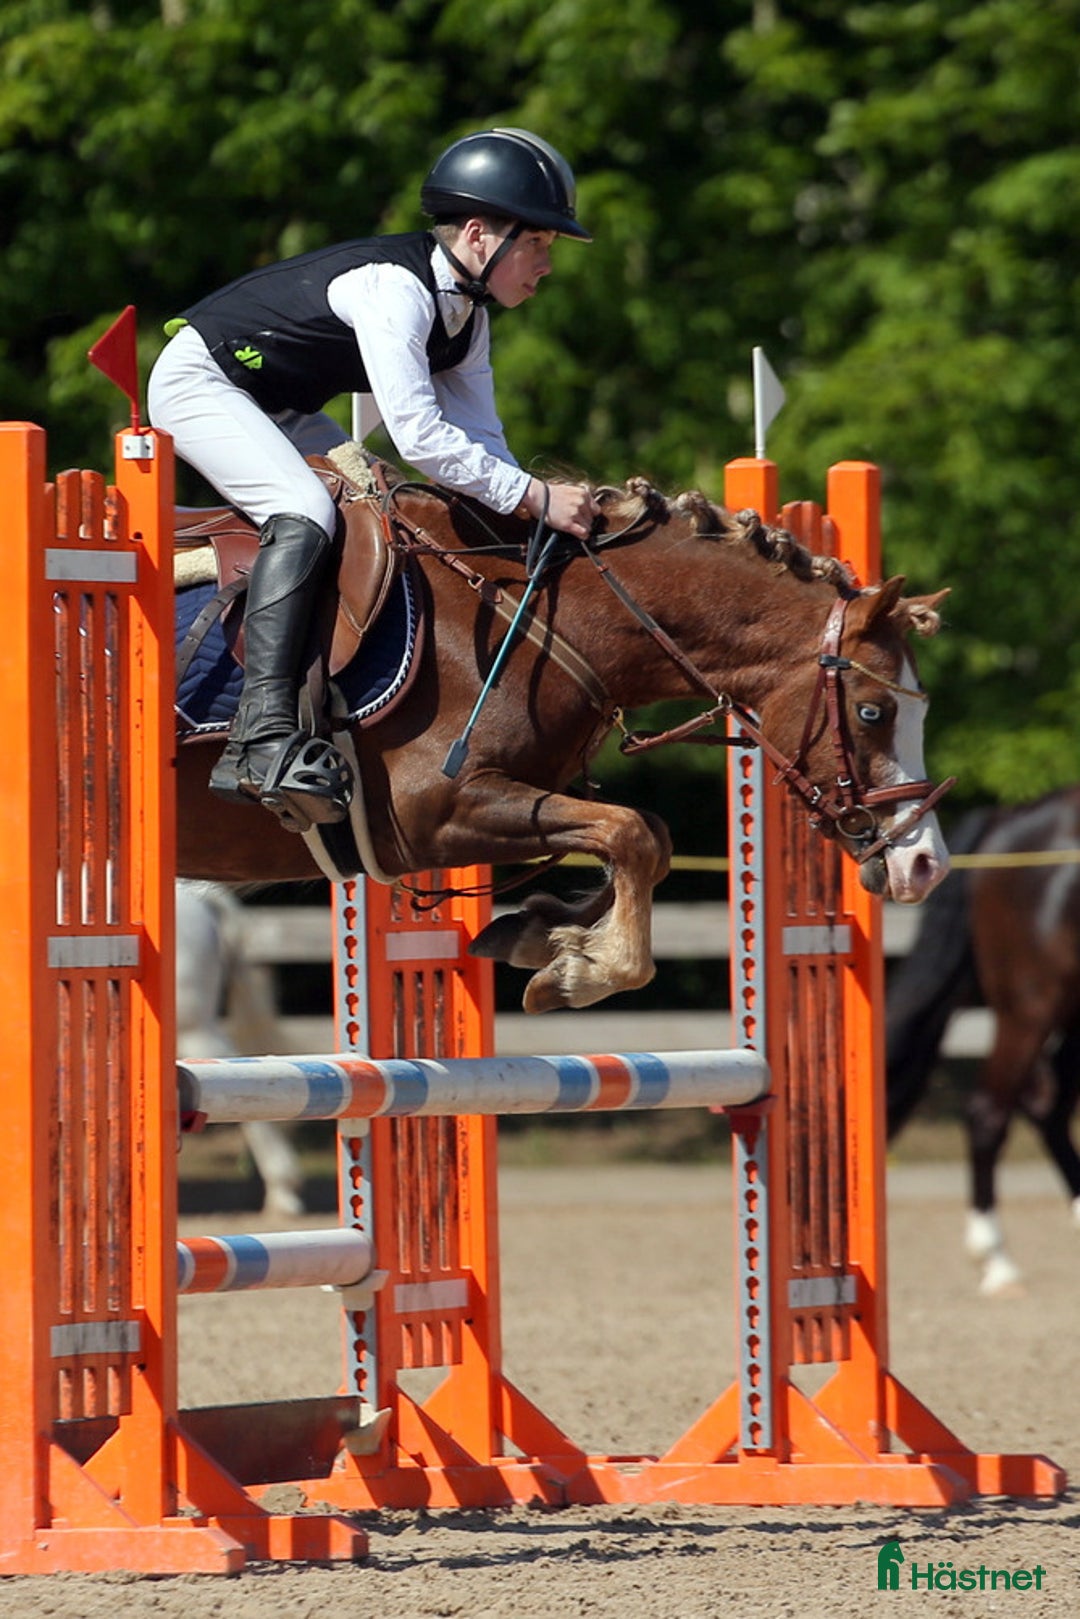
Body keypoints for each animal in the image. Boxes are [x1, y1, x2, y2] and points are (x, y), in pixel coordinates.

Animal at [174, 460, 952, 1014]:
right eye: (874, 712)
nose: (925, 865)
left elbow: (648, 836)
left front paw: (543, 933)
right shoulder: (431, 813)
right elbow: (632, 834)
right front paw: (582, 972)